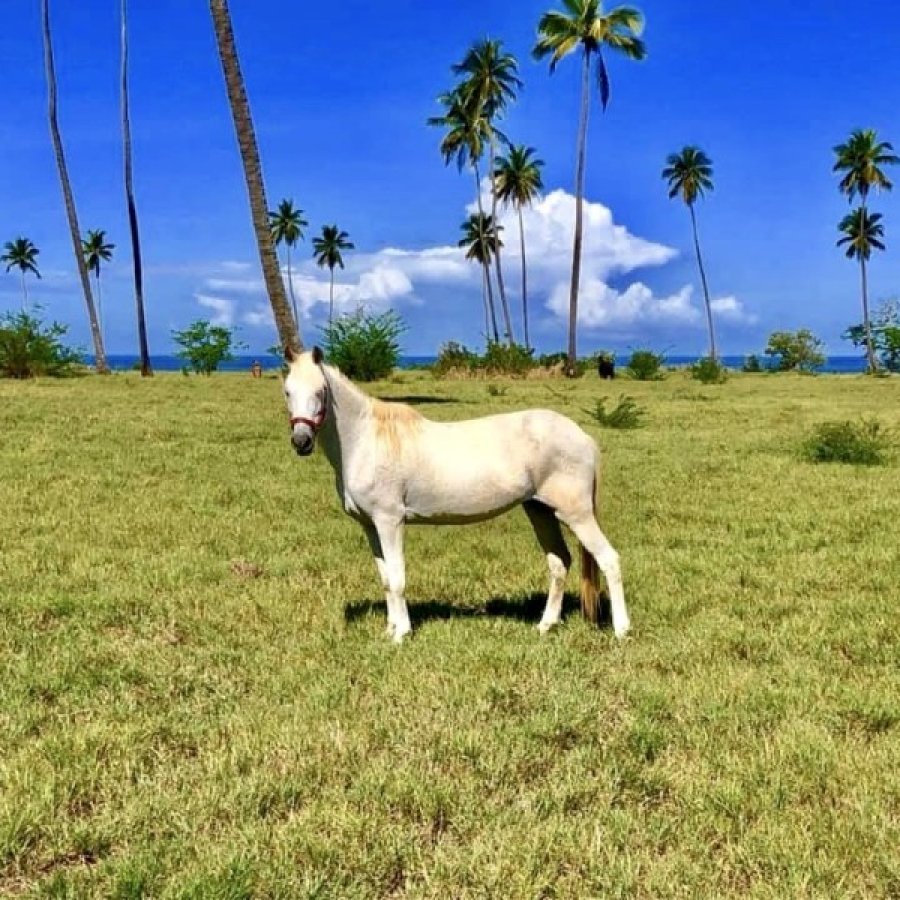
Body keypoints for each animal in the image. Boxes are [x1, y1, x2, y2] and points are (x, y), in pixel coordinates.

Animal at [284, 348, 628, 644]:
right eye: (287, 391)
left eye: (320, 391)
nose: (301, 441)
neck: (366, 441)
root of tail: (582, 436)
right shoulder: (370, 526)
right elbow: (386, 580)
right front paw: (390, 629)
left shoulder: (390, 522)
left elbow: (397, 578)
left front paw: (401, 634)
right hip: (539, 510)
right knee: (559, 563)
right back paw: (546, 625)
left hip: (576, 514)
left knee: (609, 560)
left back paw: (622, 630)